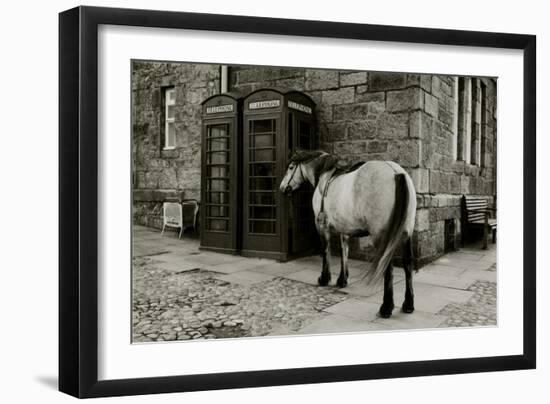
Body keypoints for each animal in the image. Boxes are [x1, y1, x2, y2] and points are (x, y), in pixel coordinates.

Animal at [280, 150, 418, 318]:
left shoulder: (321, 226)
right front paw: (342, 279)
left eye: (291, 167)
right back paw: (408, 304)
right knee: (408, 263)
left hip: (383, 235)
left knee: (387, 265)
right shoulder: (344, 227)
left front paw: (324, 278)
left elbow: (325, 251)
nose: (282, 188)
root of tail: (396, 172)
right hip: (407, 232)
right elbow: (343, 250)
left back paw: (386, 307)